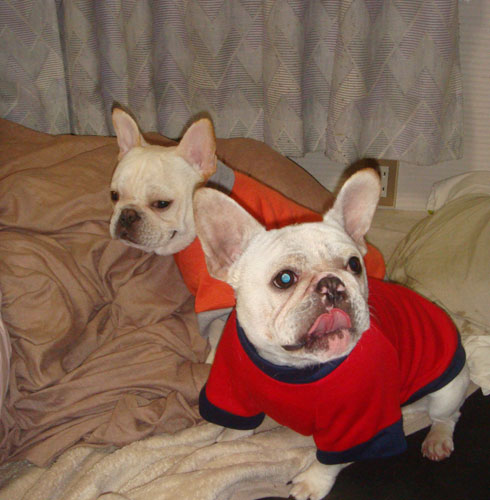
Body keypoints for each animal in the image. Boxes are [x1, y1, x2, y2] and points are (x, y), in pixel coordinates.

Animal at [194, 168, 470, 500]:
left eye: (354, 265)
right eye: (284, 279)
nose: (332, 284)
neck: (293, 367)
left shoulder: (358, 422)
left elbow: (331, 460)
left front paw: (312, 482)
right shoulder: (233, 390)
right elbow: (236, 429)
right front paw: (223, 446)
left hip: (448, 389)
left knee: (447, 415)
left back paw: (437, 439)